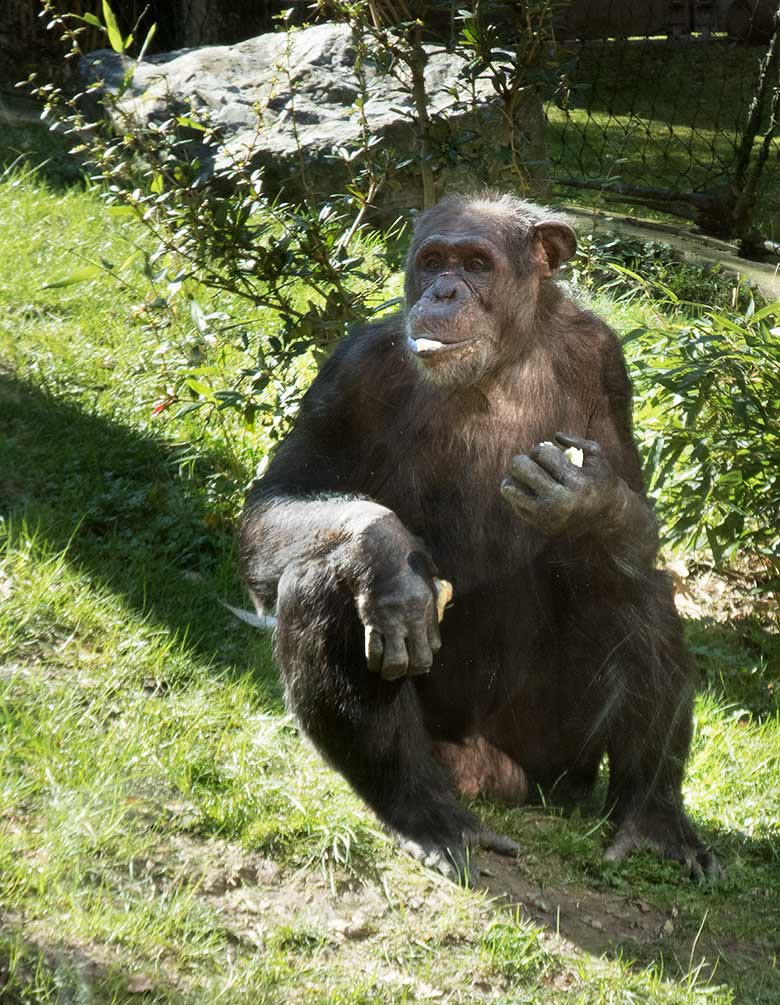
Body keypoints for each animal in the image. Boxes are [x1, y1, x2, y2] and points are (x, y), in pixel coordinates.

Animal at [239, 191, 719, 884]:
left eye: (475, 264)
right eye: (434, 260)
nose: (442, 291)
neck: (501, 362)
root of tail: (492, 775)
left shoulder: (605, 360)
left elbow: (637, 520)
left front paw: (588, 497)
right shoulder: (353, 371)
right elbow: (279, 499)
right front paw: (385, 555)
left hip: (558, 764)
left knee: (630, 584)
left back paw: (653, 820)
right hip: (447, 751)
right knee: (323, 577)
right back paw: (422, 813)